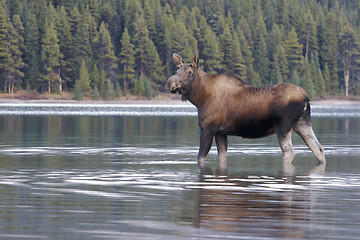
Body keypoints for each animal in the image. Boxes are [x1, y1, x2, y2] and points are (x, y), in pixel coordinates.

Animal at [166, 53, 326, 168]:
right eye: (177, 70)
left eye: (189, 72)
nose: (169, 83)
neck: (199, 98)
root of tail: (306, 97)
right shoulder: (220, 133)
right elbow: (222, 157)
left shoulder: (207, 129)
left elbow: (200, 158)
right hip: (302, 123)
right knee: (318, 148)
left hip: (283, 127)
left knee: (289, 153)